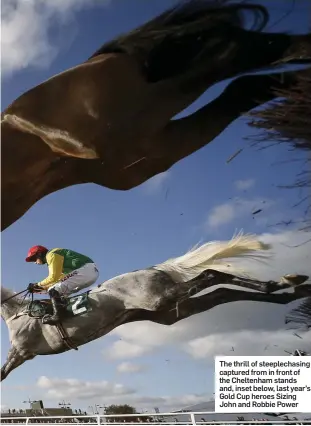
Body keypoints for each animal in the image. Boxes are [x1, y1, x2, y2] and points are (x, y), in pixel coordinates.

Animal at [1, 233, 310, 380]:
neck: (16, 314)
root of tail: (153, 269)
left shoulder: (22, 352)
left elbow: (2, 374)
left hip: (162, 298)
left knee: (212, 275)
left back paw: (283, 284)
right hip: (172, 312)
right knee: (223, 293)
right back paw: (287, 288)